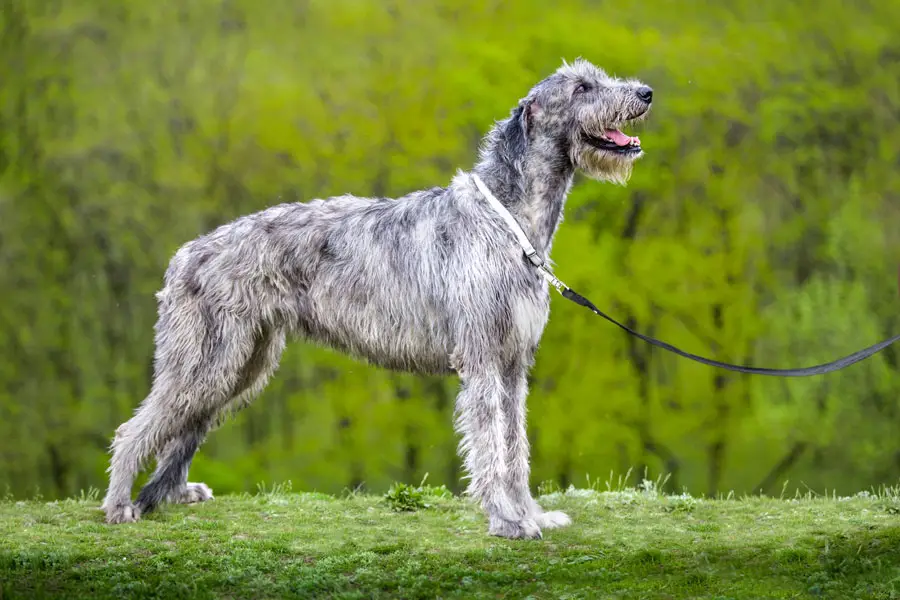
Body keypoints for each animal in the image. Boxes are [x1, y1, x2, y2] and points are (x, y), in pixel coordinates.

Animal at [102, 59, 652, 540]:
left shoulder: (514, 360)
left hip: (243, 364)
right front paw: (507, 520)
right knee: (135, 428)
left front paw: (530, 512)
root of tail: (184, 255)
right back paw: (120, 505)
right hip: (208, 358)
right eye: (581, 88)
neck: (509, 219)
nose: (645, 93)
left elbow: (515, 444)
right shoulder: (481, 358)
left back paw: (171, 494)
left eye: (597, 77)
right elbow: (490, 445)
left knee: (184, 425)